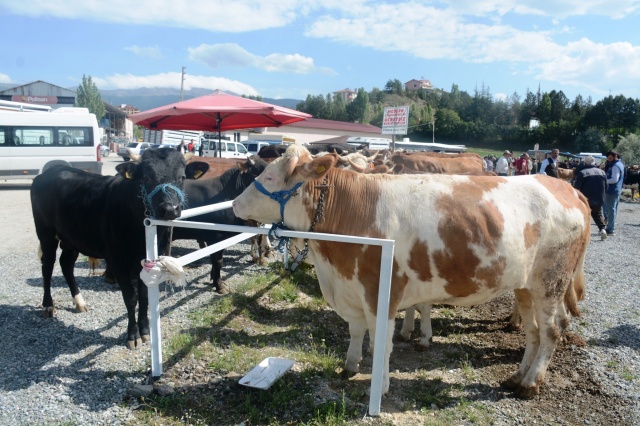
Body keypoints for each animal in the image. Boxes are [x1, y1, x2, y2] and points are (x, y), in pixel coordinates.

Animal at [31, 150, 209, 350]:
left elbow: (144, 296)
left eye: (182, 177)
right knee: (47, 266)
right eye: (146, 177)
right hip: (46, 233)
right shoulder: (118, 261)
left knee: (66, 265)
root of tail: (51, 170)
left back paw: (79, 302)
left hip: (72, 238)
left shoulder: (146, 260)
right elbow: (130, 298)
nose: (170, 209)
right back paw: (48, 305)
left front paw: (145, 331)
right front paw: (133, 335)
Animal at [231, 145, 592, 398]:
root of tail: (564, 187)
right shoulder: (353, 288)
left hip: (550, 283)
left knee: (552, 330)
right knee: (533, 331)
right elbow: (356, 331)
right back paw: (518, 377)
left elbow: (381, 342)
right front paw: (350, 366)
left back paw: (531, 384)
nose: (234, 204)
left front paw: (379, 385)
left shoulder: (380, 291)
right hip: (526, 286)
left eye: (269, 177)